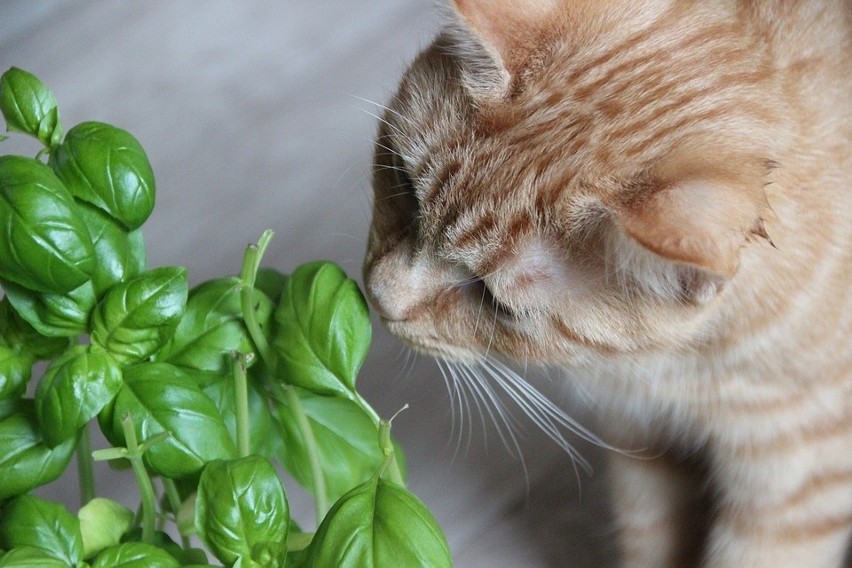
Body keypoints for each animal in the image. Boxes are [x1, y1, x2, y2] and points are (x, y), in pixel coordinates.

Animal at [362, 1, 852, 568]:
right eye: (403, 184)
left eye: (494, 300)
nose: (380, 298)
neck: (673, 368)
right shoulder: (642, 444)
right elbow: (650, 538)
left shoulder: (798, 481)